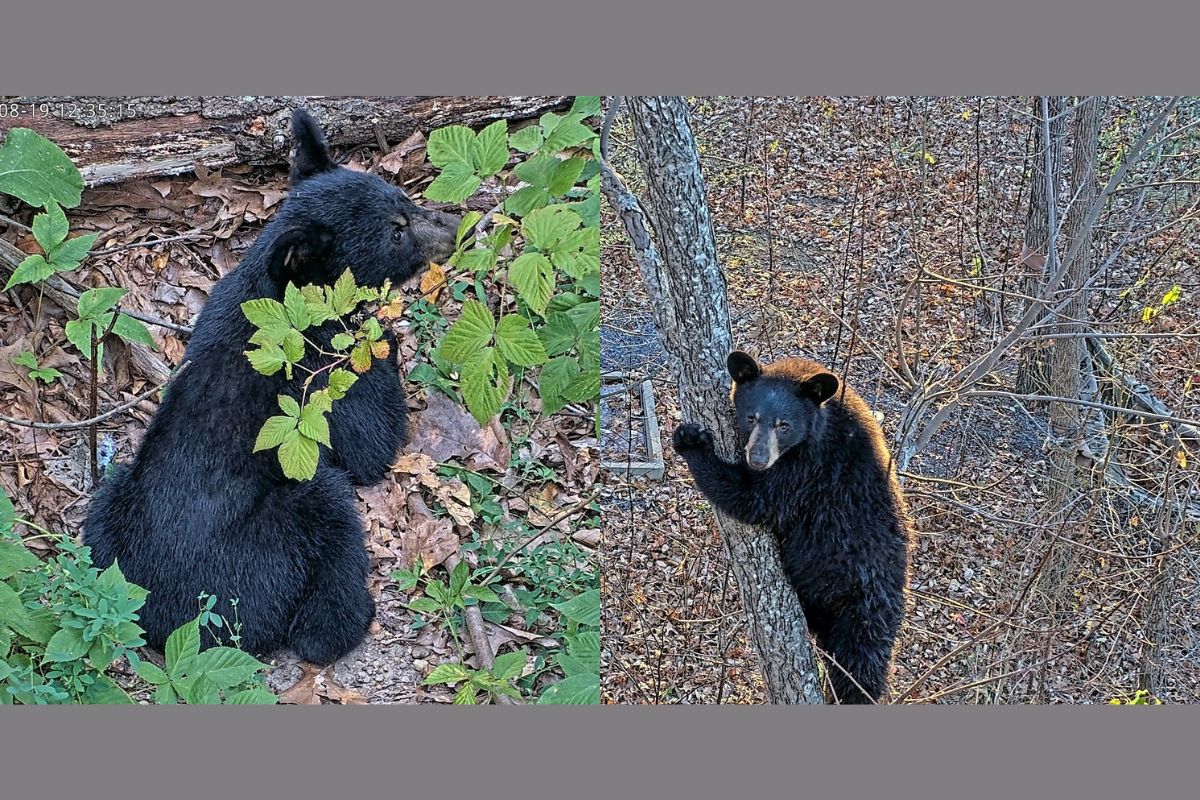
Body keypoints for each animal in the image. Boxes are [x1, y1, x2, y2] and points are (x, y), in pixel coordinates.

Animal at [82, 109, 461, 666]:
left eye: (403, 201)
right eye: (395, 233)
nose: (455, 227)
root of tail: (184, 624)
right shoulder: (322, 382)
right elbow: (369, 440)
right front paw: (386, 338)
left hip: (111, 513)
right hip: (282, 525)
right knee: (330, 535)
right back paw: (346, 620)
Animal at [671, 351, 912, 704]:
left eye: (784, 425)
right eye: (751, 417)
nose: (758, 458)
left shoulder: (808, 469)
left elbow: (753, 499)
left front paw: (692, 442)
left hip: (864, 610)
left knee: (859, 668)